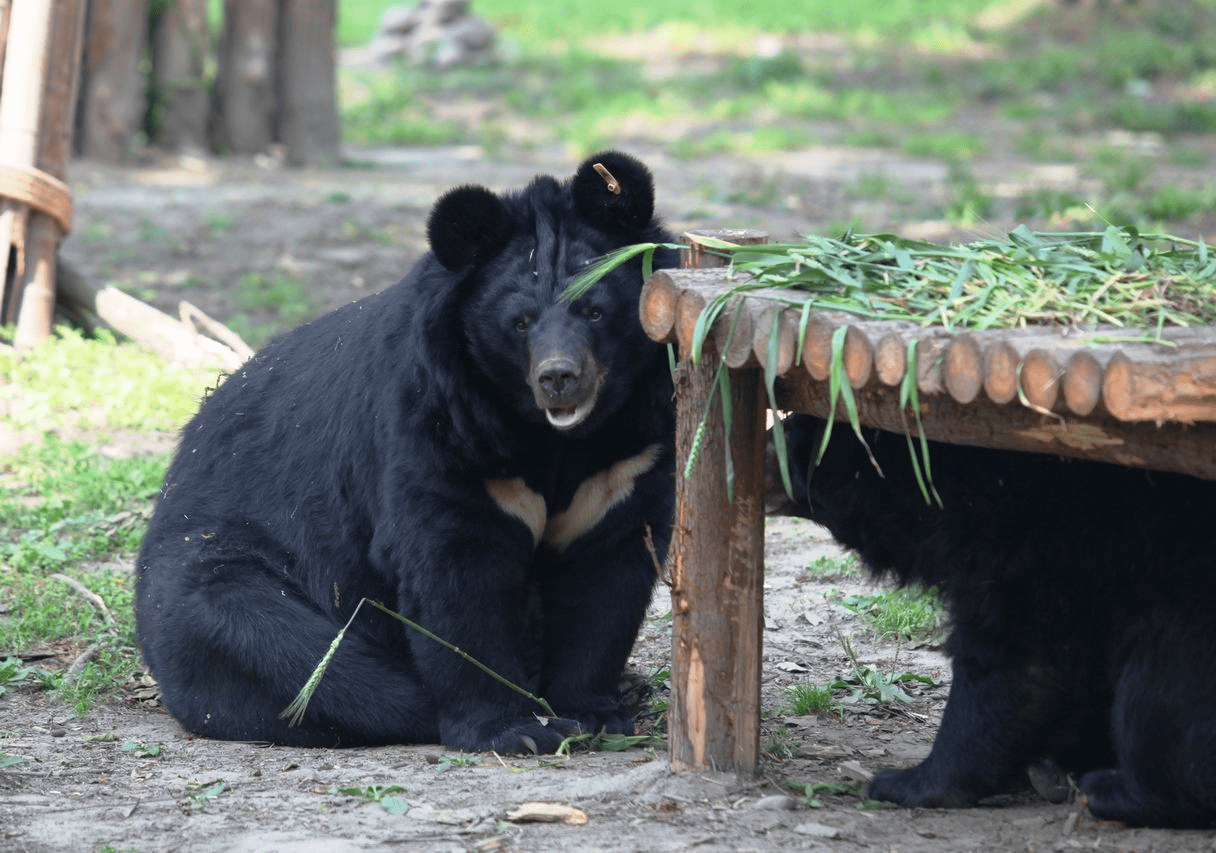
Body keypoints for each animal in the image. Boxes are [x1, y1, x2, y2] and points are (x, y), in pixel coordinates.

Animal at [139, 153, 685, 749]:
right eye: (519, 322)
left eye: (594, 311)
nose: (558, 377)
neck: (556, 437)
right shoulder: (440, 427)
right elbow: (454, 569)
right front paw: (517, 728)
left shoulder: (627, 458)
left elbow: (605, 574)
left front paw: (592, 712)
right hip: (219, 574)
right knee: (299, 655)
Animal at [773, 413, 1216, 827]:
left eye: (789, 432)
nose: (763, 450)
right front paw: (1055, 762)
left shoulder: (1026, 547)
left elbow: (1012, 662)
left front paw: (907, 783)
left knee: (1158, 684)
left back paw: (1116, 790)